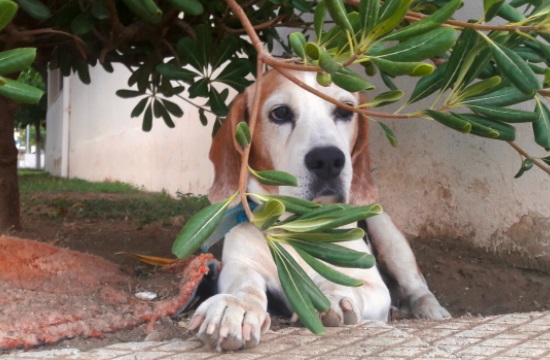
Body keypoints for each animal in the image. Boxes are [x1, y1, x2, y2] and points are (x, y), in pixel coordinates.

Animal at [188, 70, 450, 352]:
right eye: (280, 113)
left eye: (345, 111)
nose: (328, 160)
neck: (297, 224)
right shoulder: (240, 265)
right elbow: (244, 287)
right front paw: (235, 308)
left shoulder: (374, 286)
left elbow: (350, 289)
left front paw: (333, 297)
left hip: (386, 232)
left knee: (418, 286)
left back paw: (431, 310)